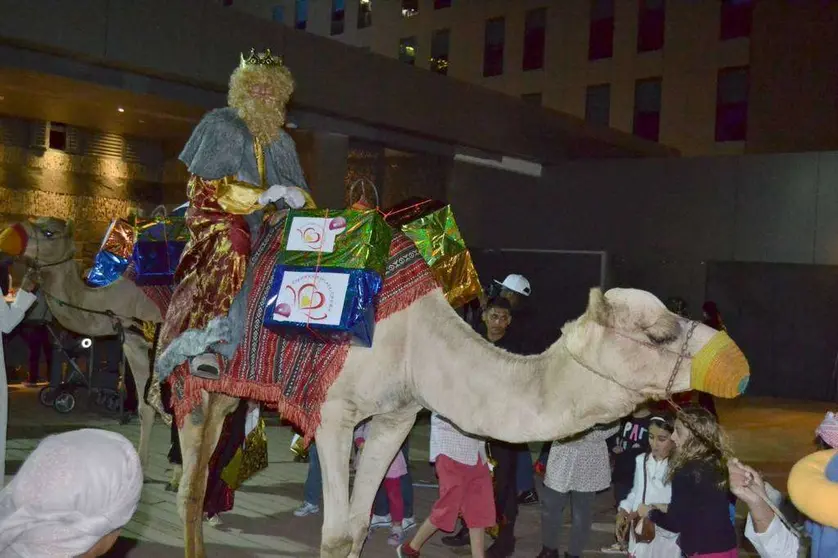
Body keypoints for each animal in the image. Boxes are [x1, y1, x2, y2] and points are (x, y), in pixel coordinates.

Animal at [171, 260, 748, 556]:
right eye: (659, 333)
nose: (737, 363)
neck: (414, 345)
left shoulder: (396, 416)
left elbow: (356, 527)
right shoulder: (334, 413)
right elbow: (335, 535)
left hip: (231, 390)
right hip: (187, 382)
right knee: (189, 484)